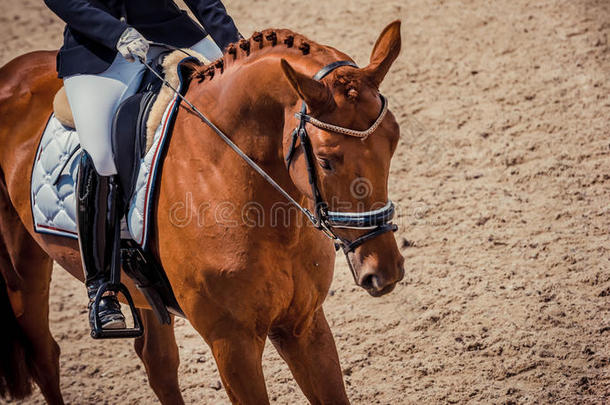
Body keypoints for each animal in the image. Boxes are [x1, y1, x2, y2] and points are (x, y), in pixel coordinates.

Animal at [0, 20, 404, 402]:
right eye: (325, 160)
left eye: (394, 139)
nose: (384, 271)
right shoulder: (232, 345)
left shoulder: (304, 325)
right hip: (24, 263)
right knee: (44, 355)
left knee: (158, 364)